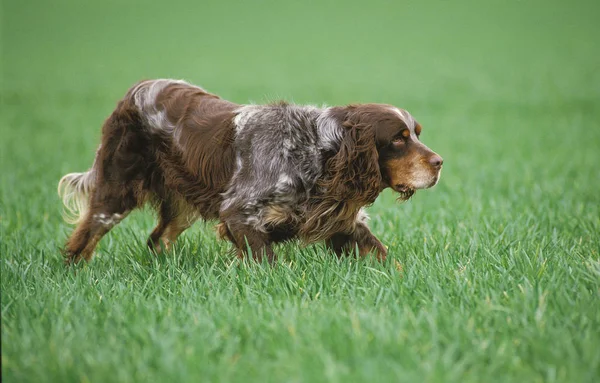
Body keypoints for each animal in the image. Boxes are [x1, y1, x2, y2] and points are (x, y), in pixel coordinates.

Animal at [57, 79, 440, 266]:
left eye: (417, 133)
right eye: (398, 139)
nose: (439, 163)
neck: (316, 151)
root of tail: (133, 91)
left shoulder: (341, 222)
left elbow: (383, 256)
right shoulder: (239, 213)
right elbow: (269, 263)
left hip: (179, 206)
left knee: (157, 239)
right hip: (115, 192)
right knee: (83, 239)